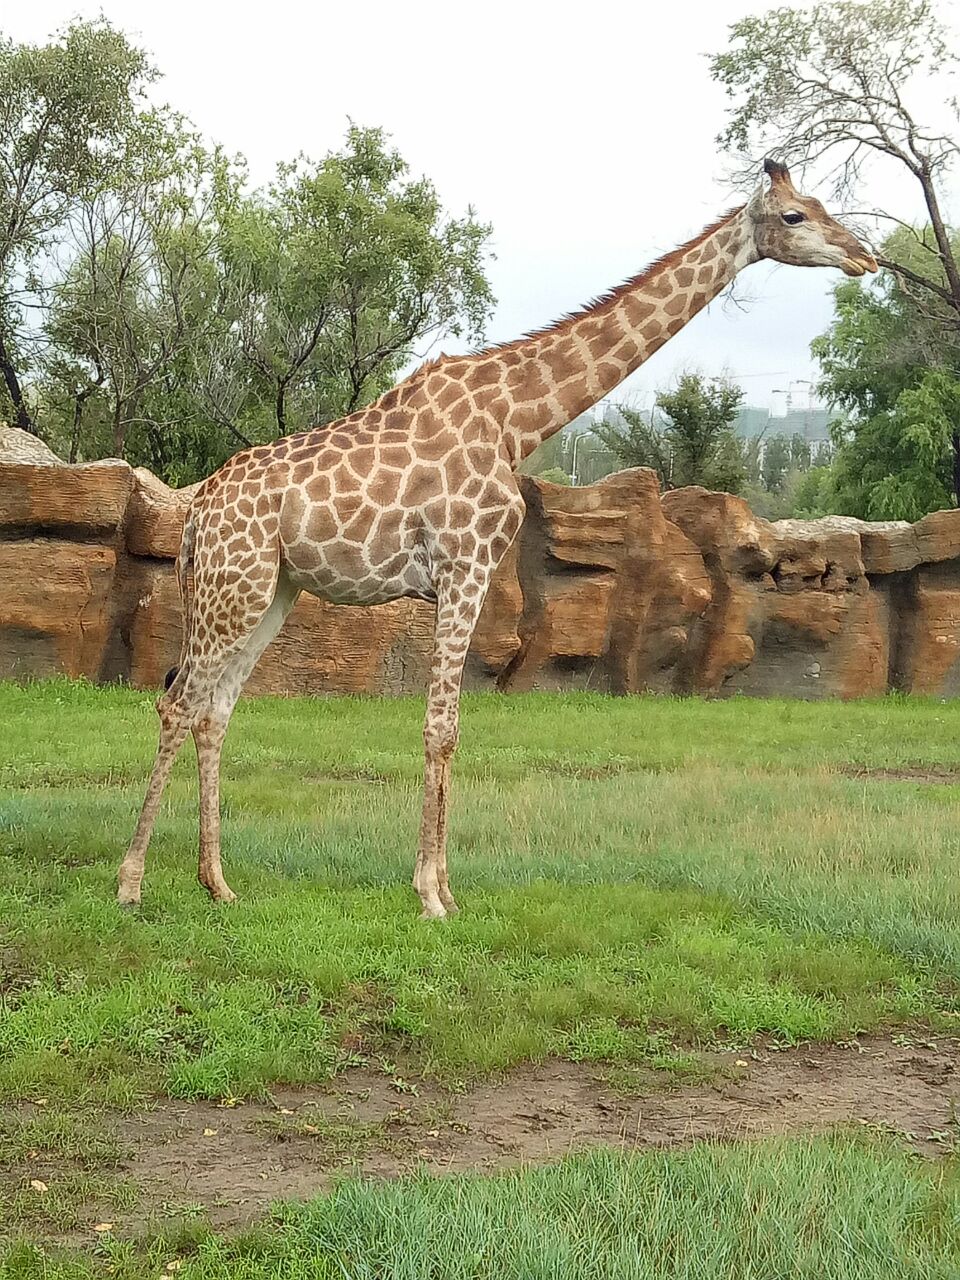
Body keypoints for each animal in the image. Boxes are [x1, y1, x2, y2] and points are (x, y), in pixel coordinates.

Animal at [116, 162, 875, 921]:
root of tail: (195, 514)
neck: (516, 419)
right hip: (232, 584)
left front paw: (445, 888)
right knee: (178, 704)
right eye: (795, 215)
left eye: (819, 204)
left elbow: (451, 728)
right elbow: (440, 727)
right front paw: (430, 895)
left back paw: (218, 883)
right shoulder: (464, 565)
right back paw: (131, 882)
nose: (864, 256)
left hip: (271, 590)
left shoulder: (470, 574)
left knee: (215, 711)